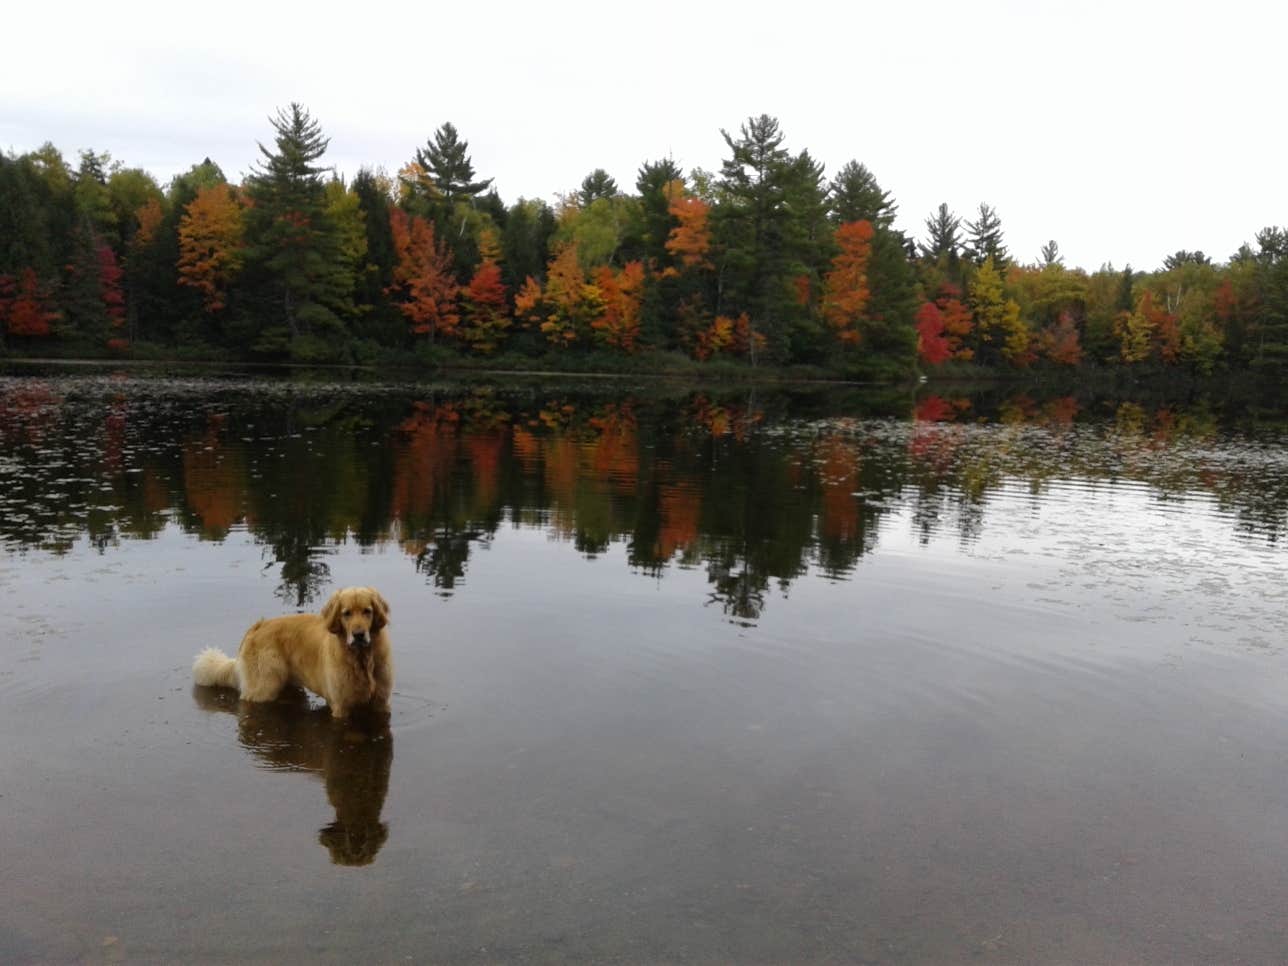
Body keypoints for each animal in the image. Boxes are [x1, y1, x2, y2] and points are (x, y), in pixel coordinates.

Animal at [191, 587, 391, 721]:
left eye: (367, 611)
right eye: (346, 613)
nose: (359, 635)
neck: (361, 658)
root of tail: (257, 627)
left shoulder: (381, 703)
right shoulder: (341, 706)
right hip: (264, 687)